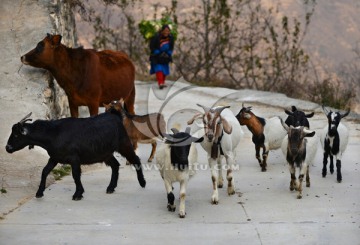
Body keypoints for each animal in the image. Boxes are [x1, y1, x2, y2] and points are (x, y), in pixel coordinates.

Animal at [5, 111, 146, 201]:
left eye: (16, 135)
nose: (7, 148)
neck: (53, 133)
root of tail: (116, 117)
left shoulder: (74, 159)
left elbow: (75, 175)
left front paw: (78, 194)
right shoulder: (55, 157)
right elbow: (45, 171)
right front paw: (39, 193)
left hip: (124, 144)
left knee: (135, 159)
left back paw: (142, 183)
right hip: (105, 153)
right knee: (115, 165)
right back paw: (111, 187)